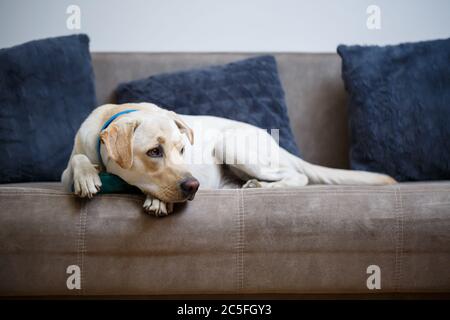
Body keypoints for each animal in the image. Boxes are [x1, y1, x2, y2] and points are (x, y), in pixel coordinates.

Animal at [62, 104, 394, 216]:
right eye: (154, 152)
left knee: (297, 176)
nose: (193, 185)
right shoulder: (66, 170)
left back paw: (262, 186)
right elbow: (77, 160)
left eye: (183, 150)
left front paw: (156, 201)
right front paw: (86, 176)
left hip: (232, 144)